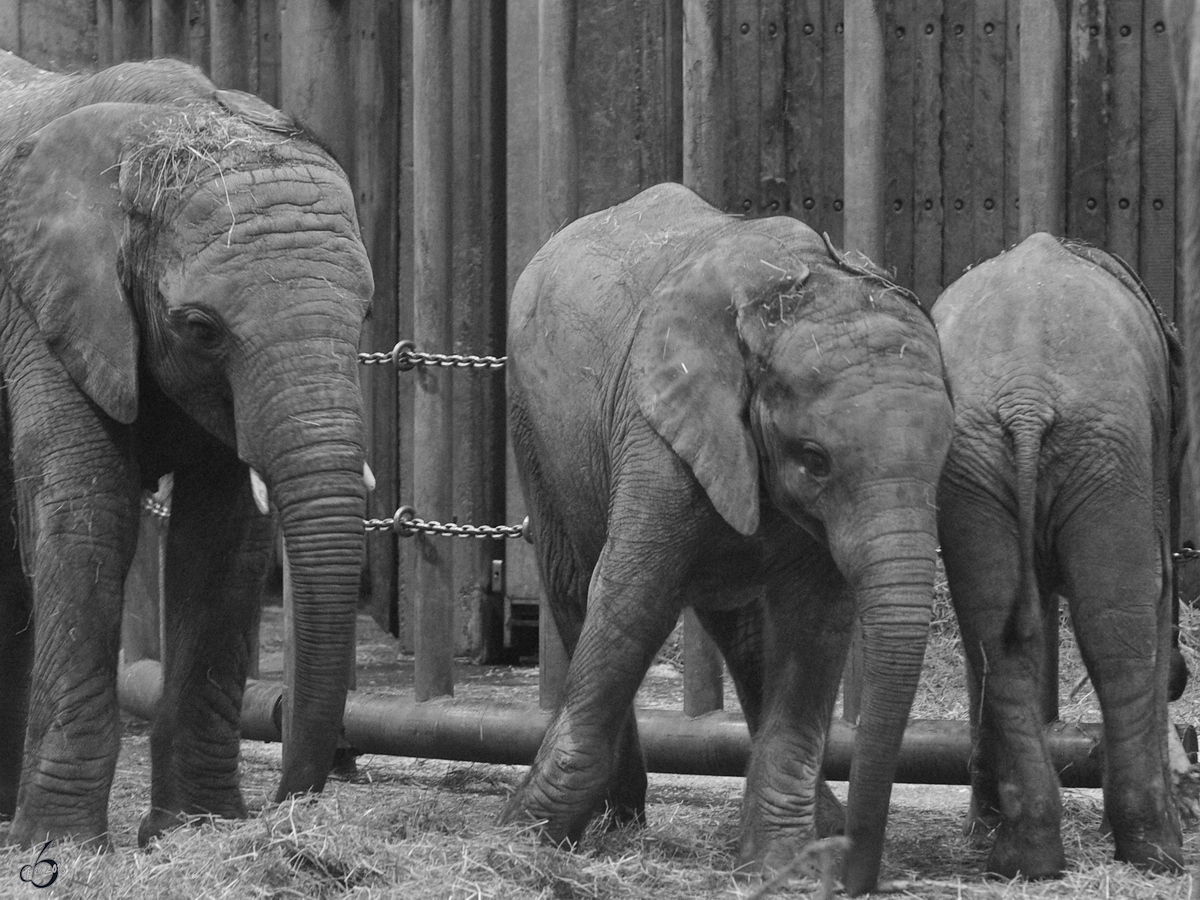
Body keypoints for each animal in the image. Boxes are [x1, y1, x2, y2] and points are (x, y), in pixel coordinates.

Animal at [0, 52, 372, 849]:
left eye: (363, 314)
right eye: (202, 328)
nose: (288, 807)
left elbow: (224, 537)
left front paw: (195, 828)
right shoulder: (38, 308)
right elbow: (88, 512)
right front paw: (61, 845)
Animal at [501, 181, 950, 897]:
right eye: (814, 459)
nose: (856, 878)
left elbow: (814, 629)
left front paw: (782, 868)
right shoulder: (659, 429)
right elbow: (631, 601)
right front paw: (520, 836)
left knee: (738, 628)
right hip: (533, 421)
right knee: (574, 588)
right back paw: (619, 821)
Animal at [931, 232, 1185, 883]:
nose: (1183, 677)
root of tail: (1027, 398)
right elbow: (1157, 590)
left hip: (976, 461)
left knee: (997, 636)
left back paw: (1023, 860)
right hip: (1108, 449)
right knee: (1120, 631)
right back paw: (1158, 852)